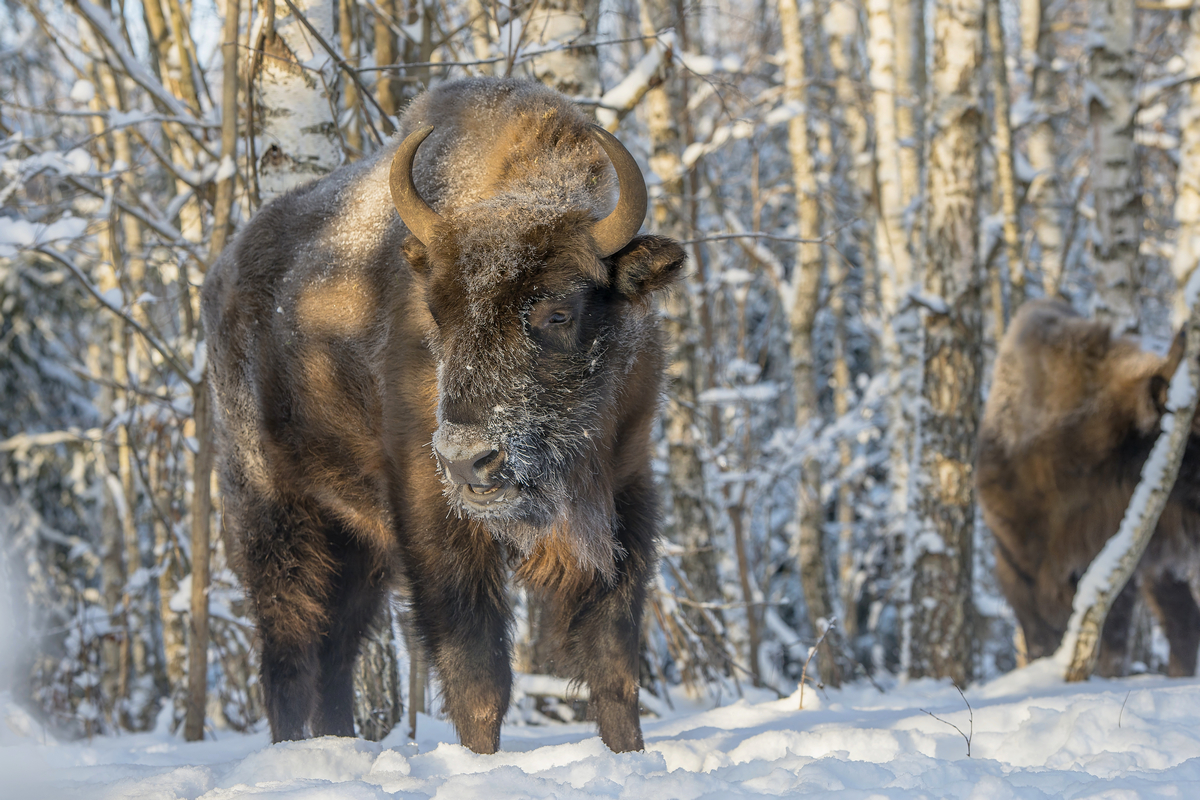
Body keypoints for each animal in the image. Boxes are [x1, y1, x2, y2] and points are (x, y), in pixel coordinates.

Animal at [198, 77, 686, 753]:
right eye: (437, 312)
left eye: (558, 311)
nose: (468, 460)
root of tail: (220, 278)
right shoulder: (434, 518)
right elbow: (477, 675)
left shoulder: (625, 493)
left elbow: (614, 669)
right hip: (274, 513)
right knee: (289, 654)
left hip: (360, 546)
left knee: (335, 656)